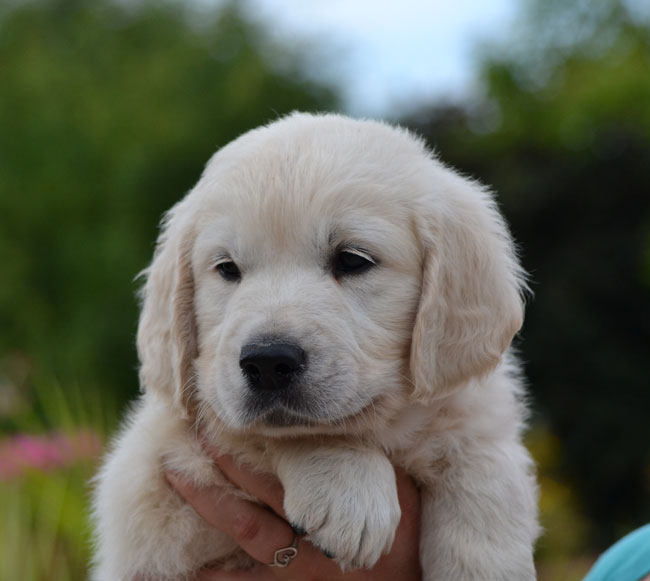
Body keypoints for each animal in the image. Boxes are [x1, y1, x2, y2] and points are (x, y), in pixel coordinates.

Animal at [91, 113, 536, 580]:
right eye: (227, 269)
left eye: (353, 260)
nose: (268, 362)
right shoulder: (157, 463)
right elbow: (284, 433)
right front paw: (349, 491)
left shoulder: (469, 406)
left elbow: (488, 470)